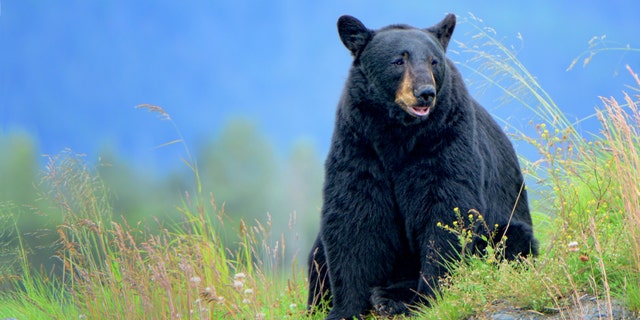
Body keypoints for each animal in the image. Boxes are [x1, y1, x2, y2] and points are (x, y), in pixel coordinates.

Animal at [308, 13, 536, 320]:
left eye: (433, 61)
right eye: (398, 60)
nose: (425, 93)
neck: (397, 133)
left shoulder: (444, 139)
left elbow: (446, 211)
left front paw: (429, 296)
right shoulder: (359, 143)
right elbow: (354, 213)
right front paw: (345, 308)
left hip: (508, 227)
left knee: (509, 242)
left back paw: (392, 297)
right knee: (317, 254)